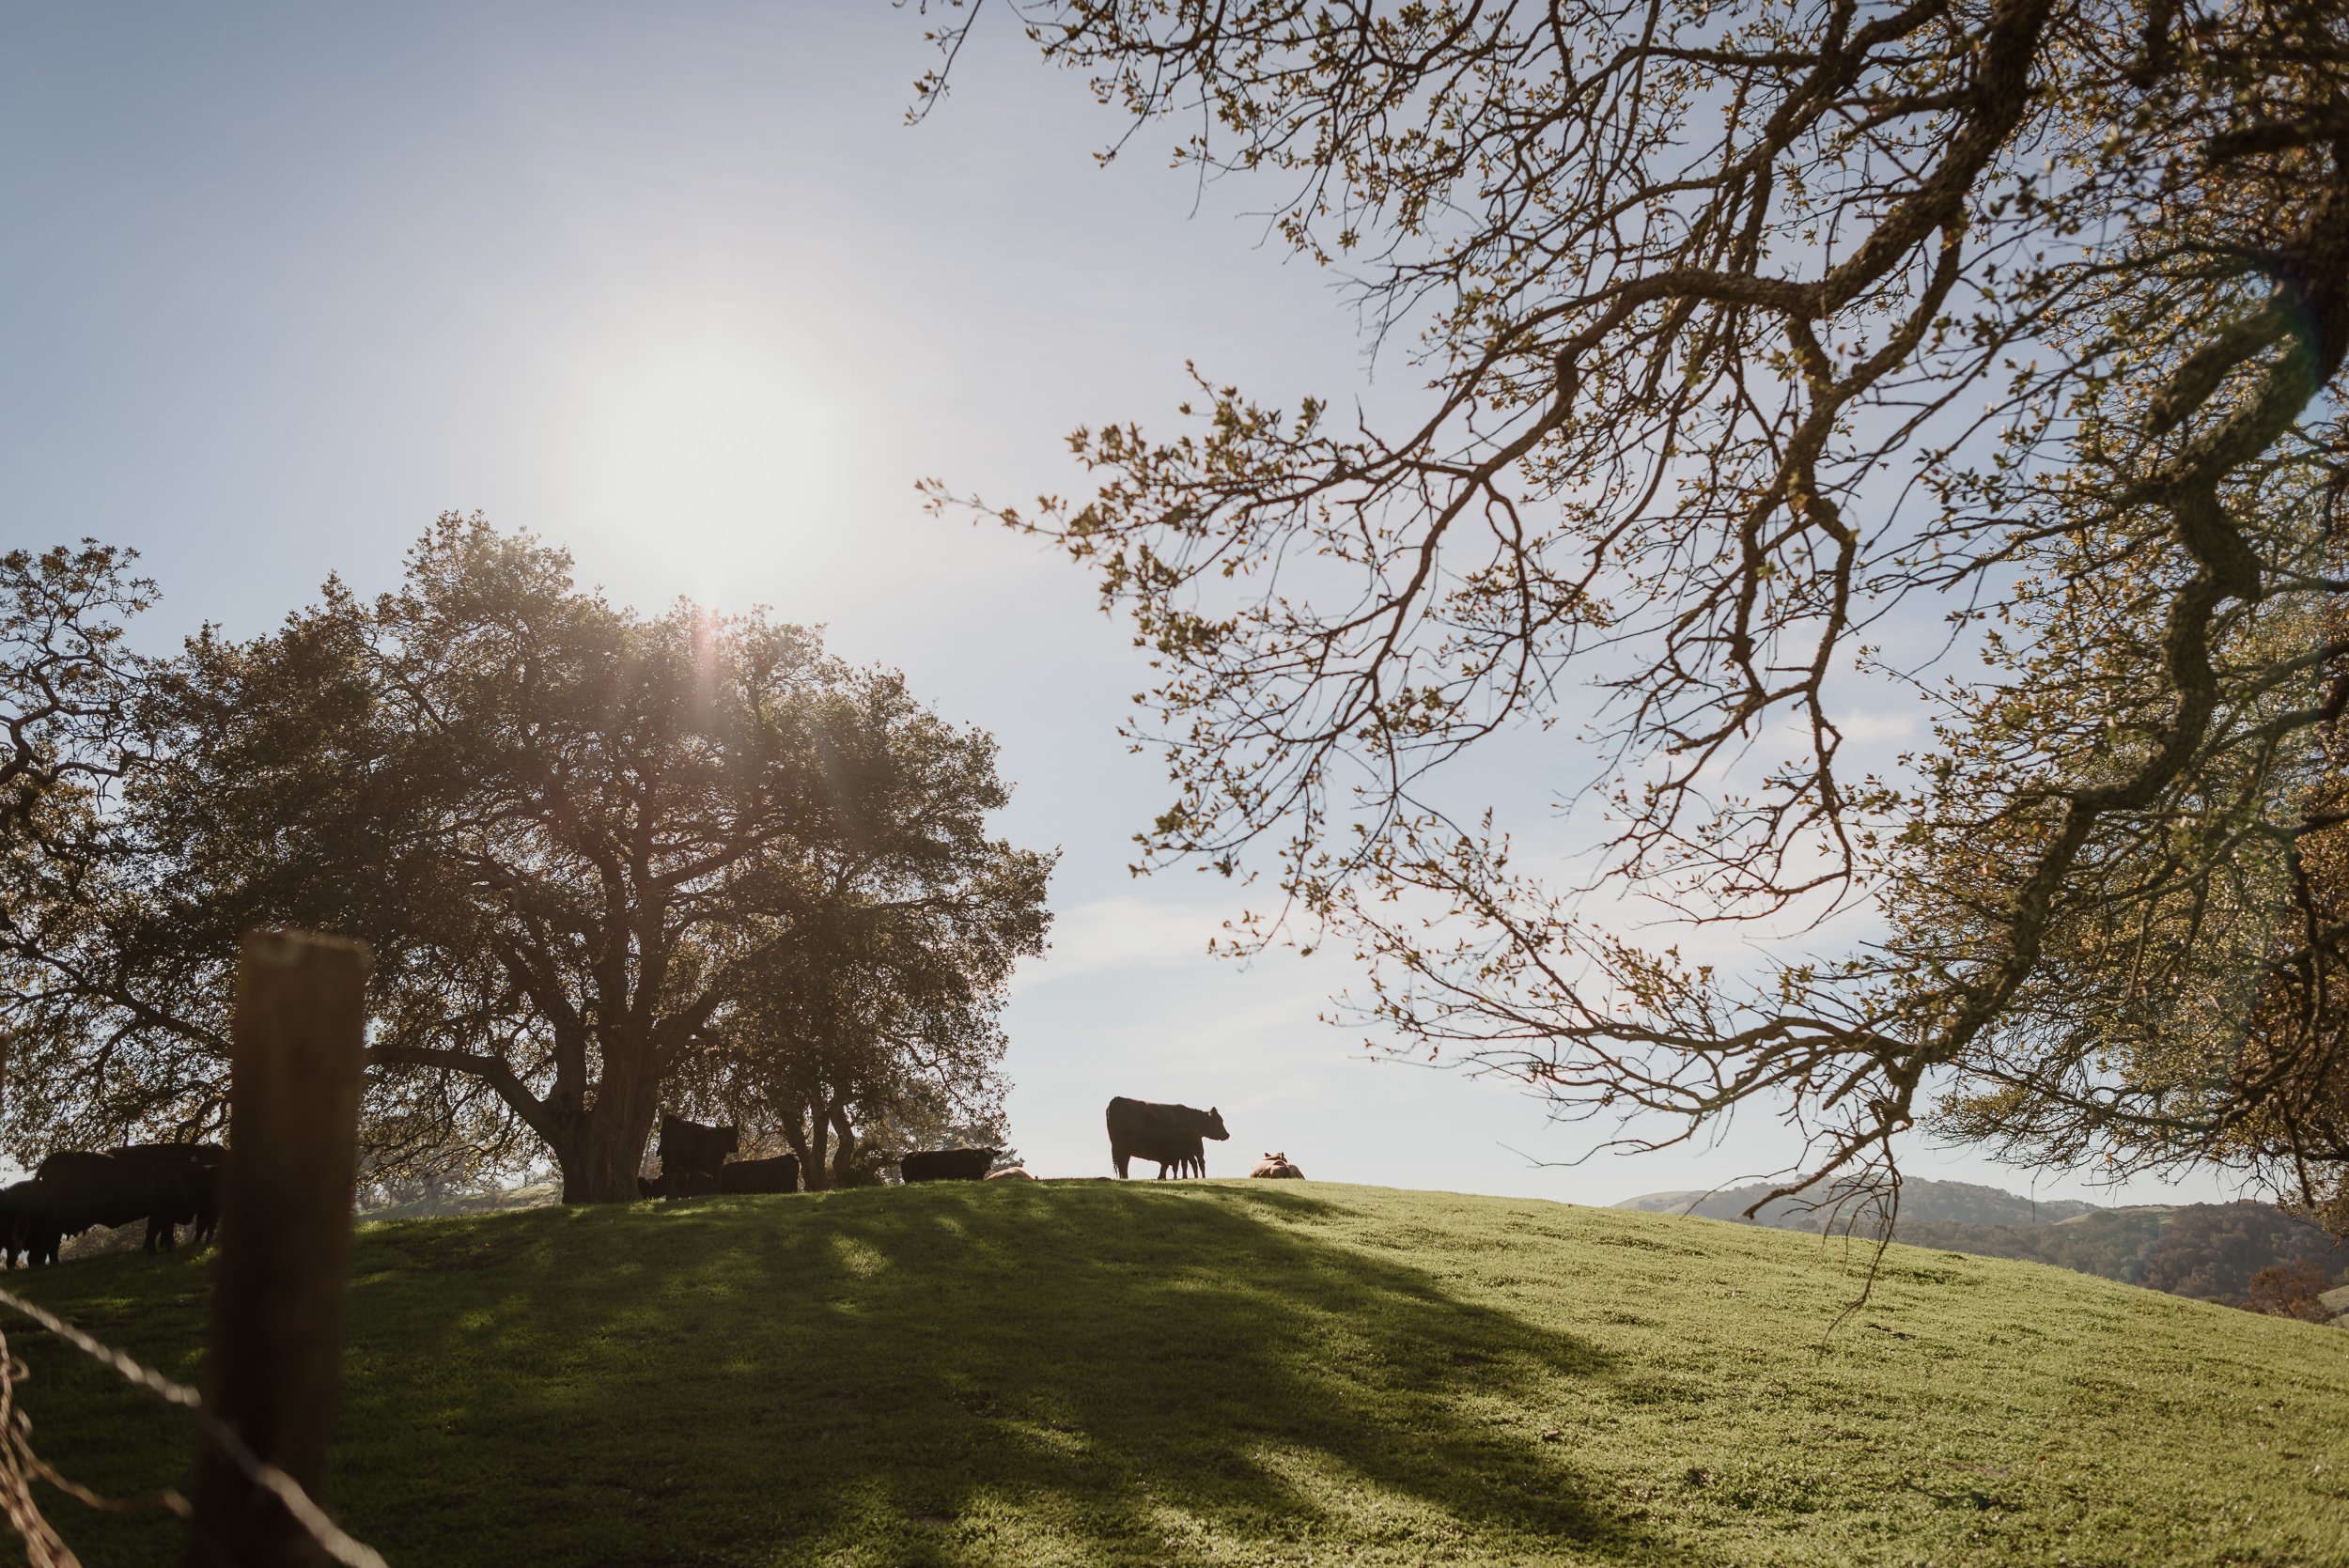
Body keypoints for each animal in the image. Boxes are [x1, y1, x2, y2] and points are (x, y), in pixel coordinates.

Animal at [1109, 1098, 1240, 1183]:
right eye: (1219, 1121)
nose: (1227, 1135)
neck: (1191, 1119)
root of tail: (1116, 1100)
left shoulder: (1177, 1154)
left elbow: (1173, 1165)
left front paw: (1166, 1177)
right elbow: (1171, 1165)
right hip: (1124, 1149)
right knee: (1124, 1163)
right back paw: (1125, 1178)